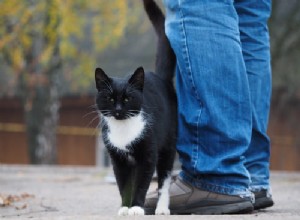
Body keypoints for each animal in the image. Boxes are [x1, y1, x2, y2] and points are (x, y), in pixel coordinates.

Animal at [95, 0, 177, 216]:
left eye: (127, 98)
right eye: (109, 98)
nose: (117, 110)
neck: (124, 129)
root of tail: (160, 77)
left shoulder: (147, 155)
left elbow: (142, 183)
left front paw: (137, 207)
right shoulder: (118, 159)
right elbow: (123, 184)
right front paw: (125, 207)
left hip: (168, 144)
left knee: (164, 179)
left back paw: (162, 208)